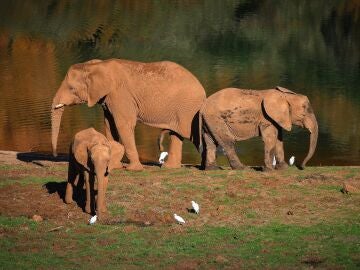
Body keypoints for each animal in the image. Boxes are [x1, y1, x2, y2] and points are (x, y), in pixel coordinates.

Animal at [52, 58, 207, 171]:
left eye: (72, 89)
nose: (55, 155)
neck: (97, 65)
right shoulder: (108, 99)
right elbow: (109, 125)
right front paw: (115, 166)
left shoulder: (120, 95)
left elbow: (123, 125)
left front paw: (132, 169)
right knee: (176, 134)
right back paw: (170, 167)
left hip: (189, 108)